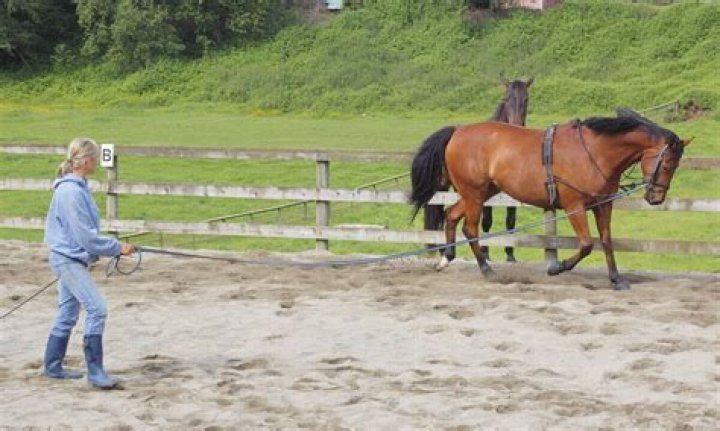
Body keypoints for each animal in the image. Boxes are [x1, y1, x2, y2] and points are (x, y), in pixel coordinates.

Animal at [410, 108, 690, 290]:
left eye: (675, 165)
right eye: (667, 164)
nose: (656, 198)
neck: (594, 152)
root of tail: (458, 131)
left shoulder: (603, 205)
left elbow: (606, 242)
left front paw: (616, 279)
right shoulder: (575, 206)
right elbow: (586, 244)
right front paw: (557, 267)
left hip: (479, 193)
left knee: (452, 216)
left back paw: (447, 258)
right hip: (474, 194)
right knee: (469, 228)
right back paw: (487, 270)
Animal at [423, 74, 534, 263]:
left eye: (526, 99)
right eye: (506, 98)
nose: (516, 125)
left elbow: (510, 222)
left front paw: (510, 254)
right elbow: (486, 222)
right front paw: (486, 253)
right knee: (440, 214)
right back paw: (442, 249)